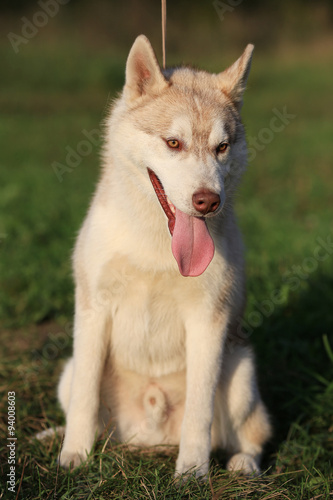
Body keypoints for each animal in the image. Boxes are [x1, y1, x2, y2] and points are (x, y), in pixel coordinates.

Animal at [56, 33, 270, 478]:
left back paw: (242, 463)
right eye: (174, 143)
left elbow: (199, 413)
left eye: (222, 147)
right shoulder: (92, 309)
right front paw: (74, 458)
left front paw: (191, 473)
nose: (208, 201)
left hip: (241, 373)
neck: (158, 244)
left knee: (252, 437)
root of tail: (150, 437)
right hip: (67, 373)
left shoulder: (208, 320)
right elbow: (84, 398)